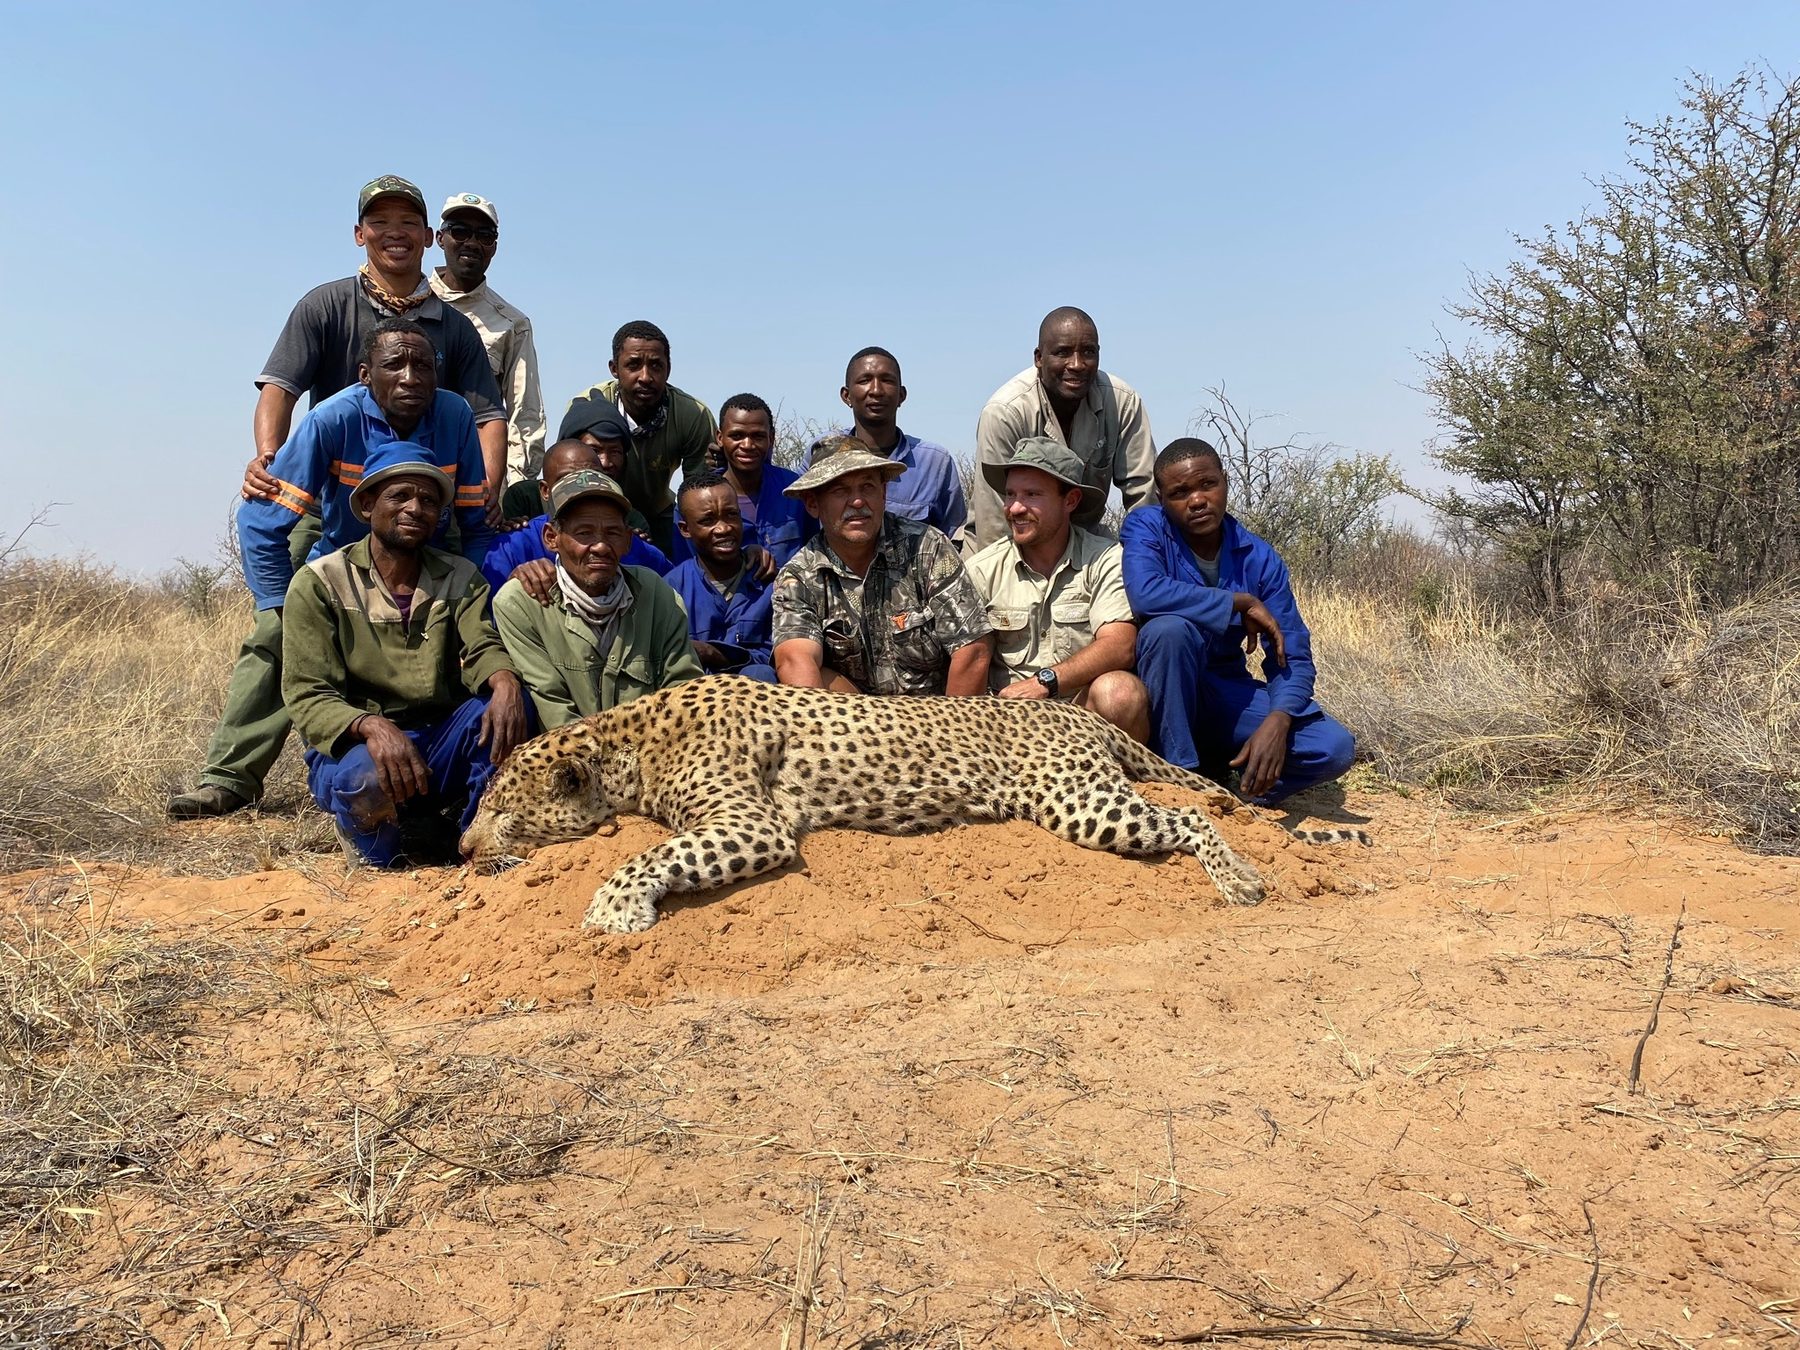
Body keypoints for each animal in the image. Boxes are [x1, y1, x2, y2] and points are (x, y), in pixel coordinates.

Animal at [458, 674, 1369, 934]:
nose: (464, 850)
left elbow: (647, 851)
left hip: (1078, 800)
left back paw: (1241, 880)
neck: (627, 742)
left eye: (501, 809)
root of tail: (1076, 711)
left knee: (1189, 817)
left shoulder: (751, 822)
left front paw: (613, 908)